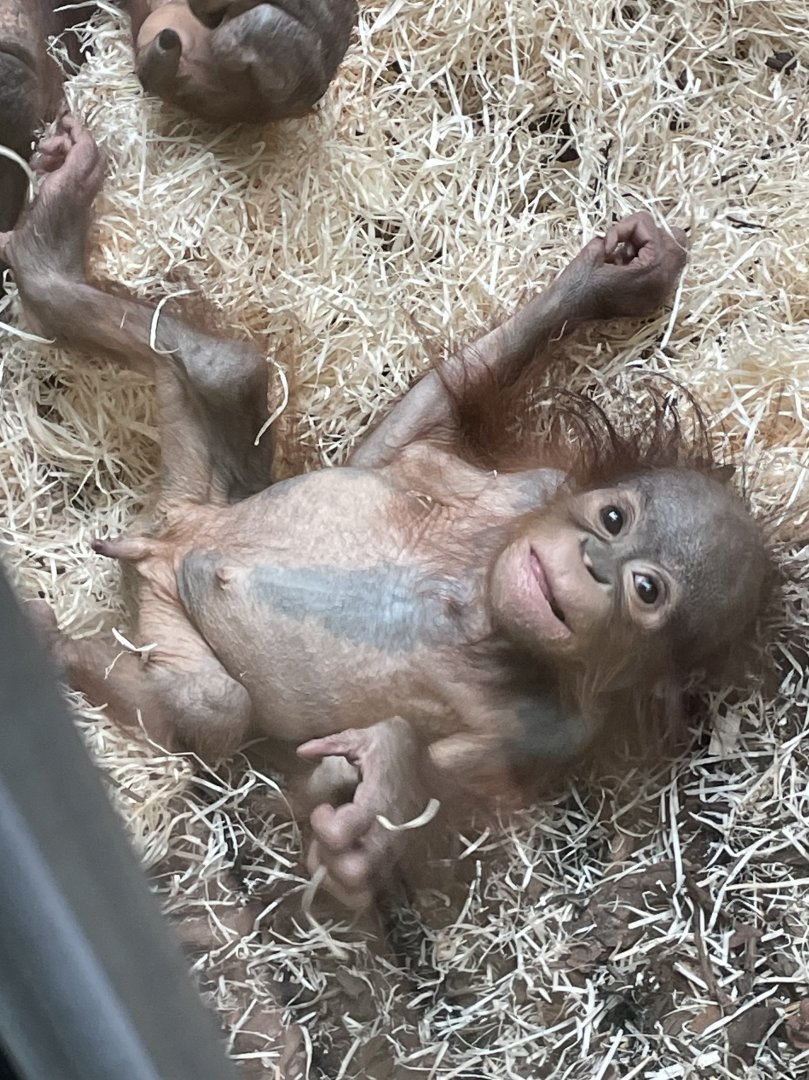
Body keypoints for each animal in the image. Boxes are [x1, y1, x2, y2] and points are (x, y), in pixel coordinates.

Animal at [0, 116, 772, 912]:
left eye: (644, 588)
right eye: (612, 518)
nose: (591, 562)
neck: (476, 601)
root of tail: (163, 543)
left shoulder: (547, 733)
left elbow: (437, 780)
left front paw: (378, 800)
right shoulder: (522, 491)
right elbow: (408, 433)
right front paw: (610, 279)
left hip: (169, 609)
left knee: (215, 705)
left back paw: (53, 650)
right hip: (208, 492)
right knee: (229, 369)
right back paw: (49, 257)